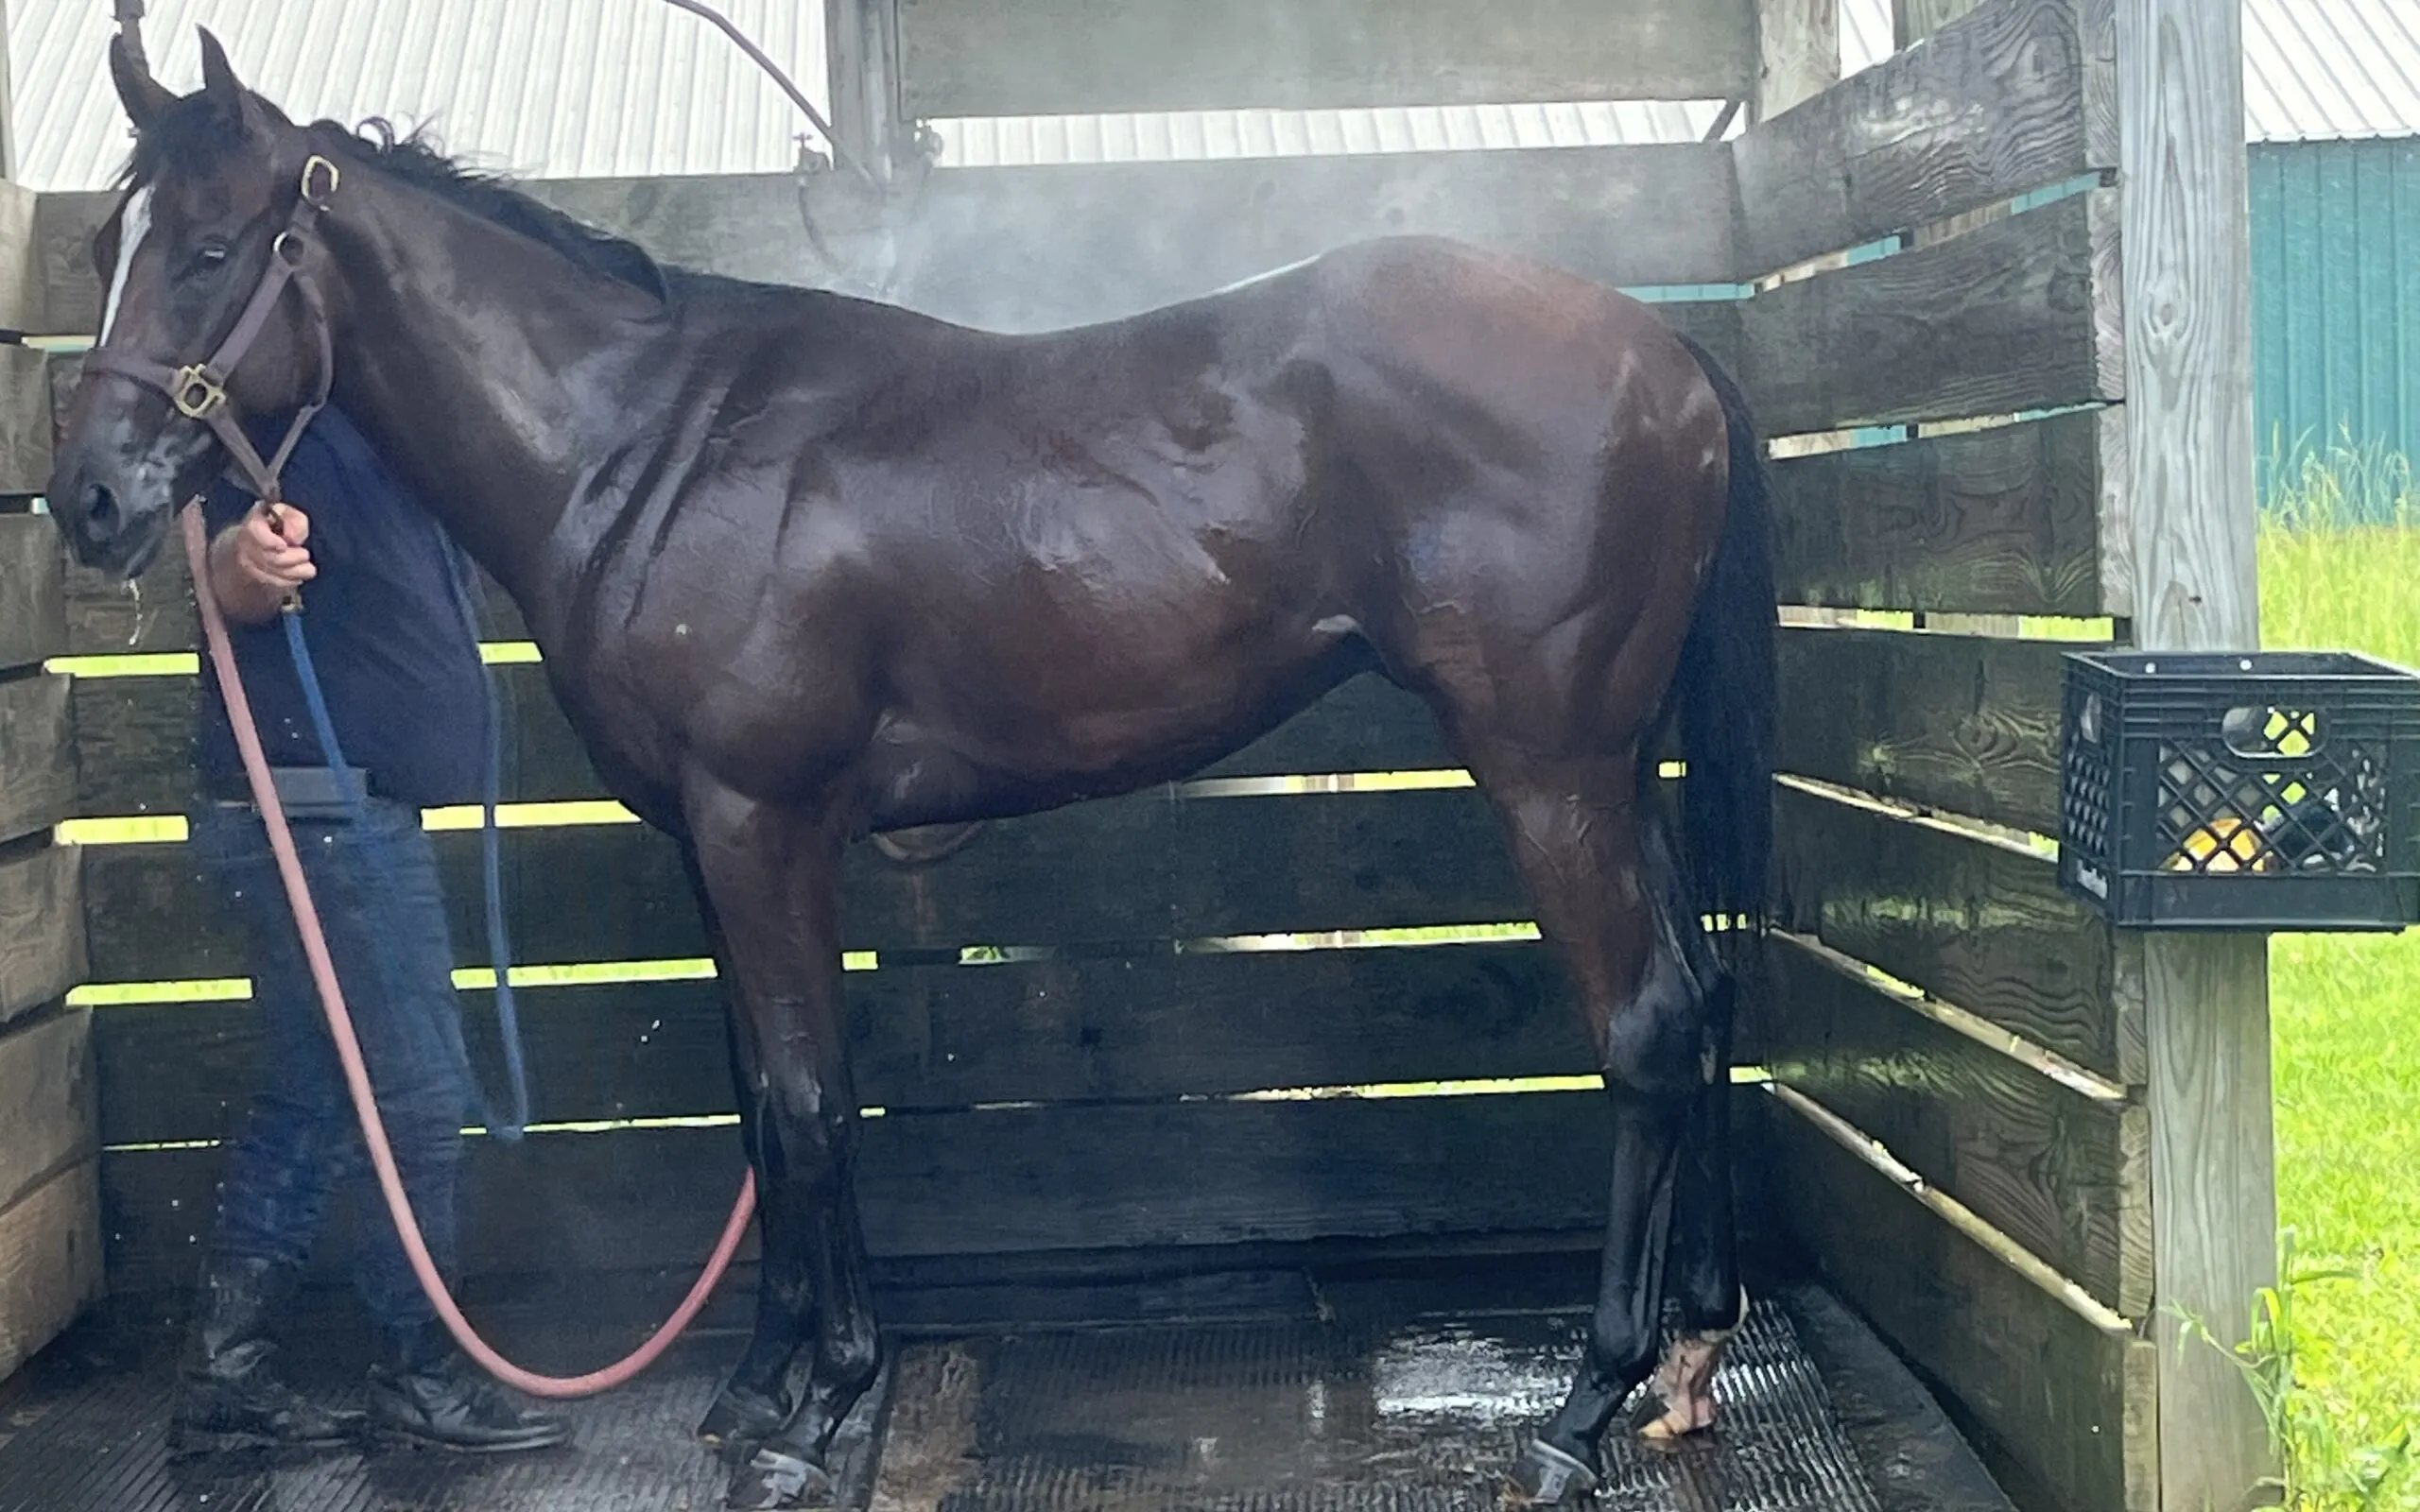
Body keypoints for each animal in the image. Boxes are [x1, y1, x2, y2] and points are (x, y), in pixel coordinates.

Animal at [51, 30, 1776, 1510]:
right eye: (105, 247)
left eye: (210, 248)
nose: (88, 499)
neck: (640, 443)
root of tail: (1661, 344)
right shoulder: (709, 841)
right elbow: (761, 1102)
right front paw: (759, 1384)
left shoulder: (766, 827)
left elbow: (815, 1107)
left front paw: (821, 1407)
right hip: (1622, 764)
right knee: (1699, 1004)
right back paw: (1690, 1349)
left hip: (1547, 768)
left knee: (1642, 1031)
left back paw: (1580, 1407)